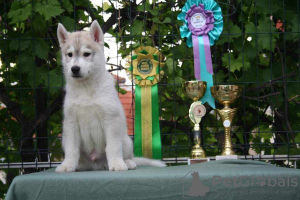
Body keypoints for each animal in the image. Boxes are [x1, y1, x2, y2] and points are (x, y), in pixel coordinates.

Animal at [55, 21, 165, 173]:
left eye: (86, 54)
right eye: (69, 54)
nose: (75, 69)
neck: (86, 88)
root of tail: (96, 164)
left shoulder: (111, 119)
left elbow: (113, 147)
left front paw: (117, 164)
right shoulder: (71, 123)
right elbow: (72, 149)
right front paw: (67, 165)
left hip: (126, 141)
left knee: (126, 154)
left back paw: (127, 162)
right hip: (64, 140)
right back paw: (79, 165)